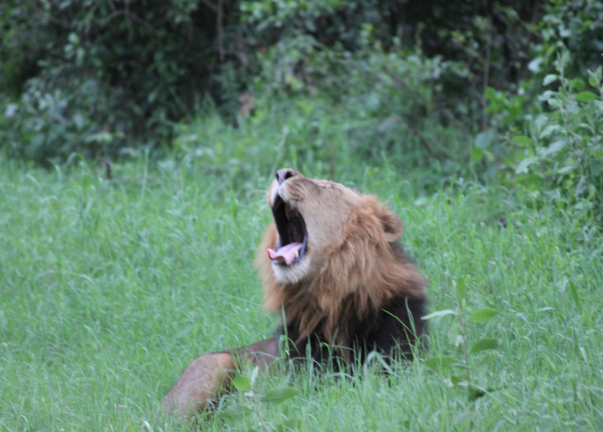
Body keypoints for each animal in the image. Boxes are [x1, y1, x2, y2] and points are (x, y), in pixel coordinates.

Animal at [164, 168, 430, 416]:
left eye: (327, 187)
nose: (282, 173)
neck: (331, 298)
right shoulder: (298, 381)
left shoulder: (399, 364)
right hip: (215, 363)